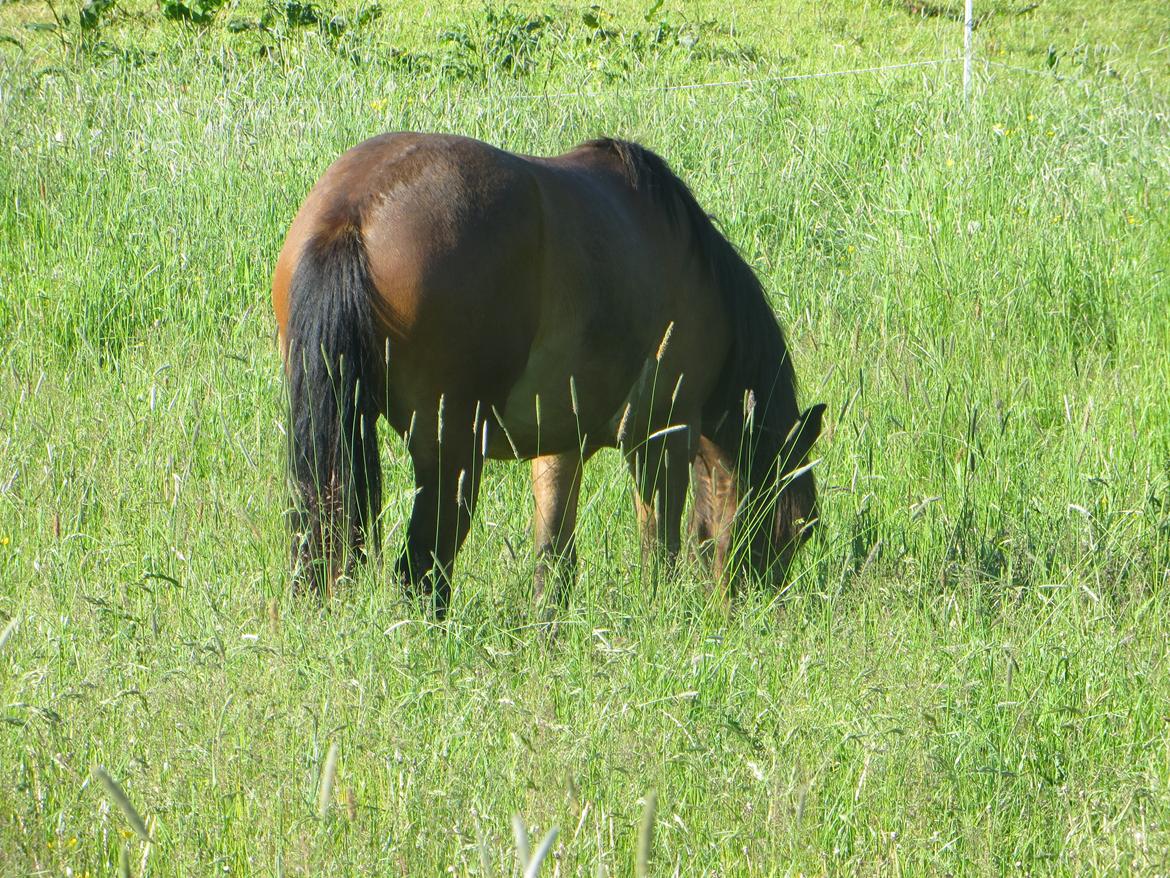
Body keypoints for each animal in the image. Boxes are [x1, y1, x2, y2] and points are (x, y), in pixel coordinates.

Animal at [272, 132, 825, 615]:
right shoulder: (663, 437)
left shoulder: (560, 447)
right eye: (801, 526)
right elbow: (659, 551)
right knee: (423, 566)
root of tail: (354, 211)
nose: (757, 610)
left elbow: (554, 560)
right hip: (451, 453)